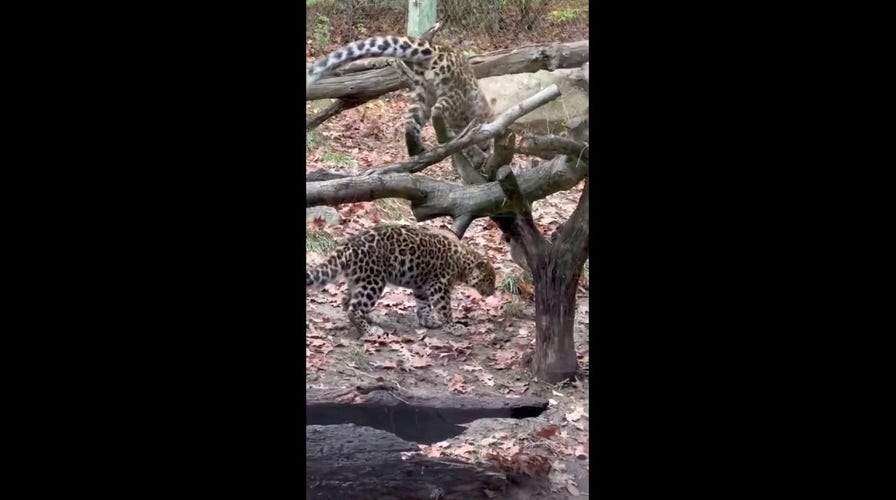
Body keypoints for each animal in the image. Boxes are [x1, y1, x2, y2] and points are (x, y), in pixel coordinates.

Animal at [305, 36, 494, 162]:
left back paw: (416, 149)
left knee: (411, 122)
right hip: (453, 93)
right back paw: (442, 136)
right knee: (437, 110)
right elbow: (471, 142)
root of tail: (438, 49)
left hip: (421, 93)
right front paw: (480, 155)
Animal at [306, 224, 496, 338]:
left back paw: (369, 319)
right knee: (354, 308)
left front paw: (428, 321)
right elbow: (445, 309)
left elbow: (424, 306)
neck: (462, 264)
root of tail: (349, 245)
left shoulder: (421, 286)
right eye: (489, 280)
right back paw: (370, 331)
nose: (492, 292)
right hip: (374, 281)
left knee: (346, 301)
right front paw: (454, 327)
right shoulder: (439, 287)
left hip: (359, 279)